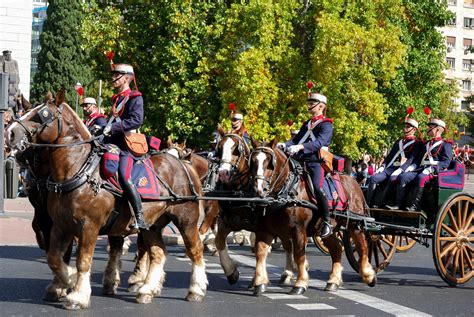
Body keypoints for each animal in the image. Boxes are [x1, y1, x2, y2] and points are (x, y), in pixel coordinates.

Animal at [5, 89, 206, 308]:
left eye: (43, 114)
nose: (10, 133)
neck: (80, 170)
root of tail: (183, 164)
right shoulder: (60, 225)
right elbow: (54, 258)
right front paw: (66, 282)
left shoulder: (88, 227)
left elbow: (82, 261)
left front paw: (77, 294)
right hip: (152, 225)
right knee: (157, 253)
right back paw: (147, 289)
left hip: (186, 221)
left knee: (195, 250)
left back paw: (195, 289)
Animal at [248, 139, 378, 292]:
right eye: (253, 161)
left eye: (269, 162)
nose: (259, 190)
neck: (289, 189)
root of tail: (354, 183)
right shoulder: (266, 229)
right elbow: (260, 251)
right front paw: (259, 282)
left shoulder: (298, 229)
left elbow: (299, 254)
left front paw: (300, 283)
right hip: (325, 230)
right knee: (336, 249)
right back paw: (333, 281)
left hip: (354, 225)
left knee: (362, 247)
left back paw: (369, 275)